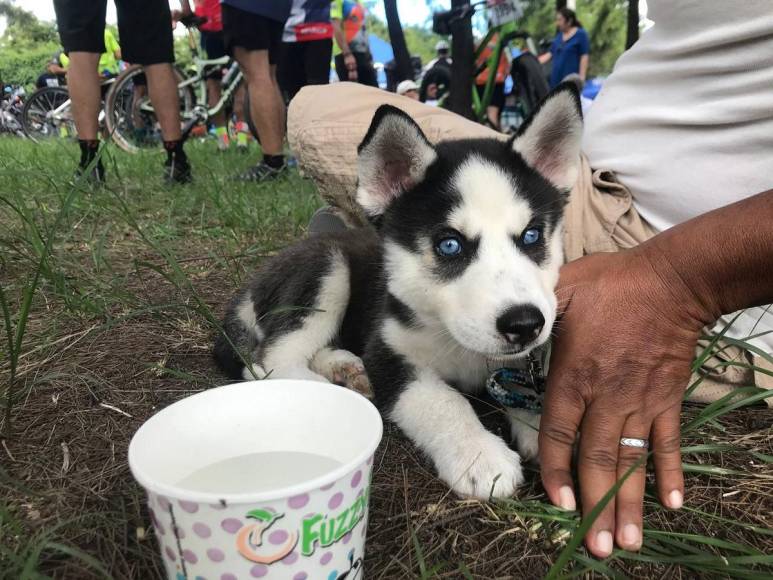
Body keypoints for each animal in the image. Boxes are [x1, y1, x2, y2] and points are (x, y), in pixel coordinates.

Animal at [214, 86, 584, 498]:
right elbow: (443, 400)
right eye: (449, 245)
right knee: (270, 360)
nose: (524, 324)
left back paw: (346, 368)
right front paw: (479, 455)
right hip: (328, 269)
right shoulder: (389, 350)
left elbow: (532, 390)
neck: (460, 345)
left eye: (532, 236)